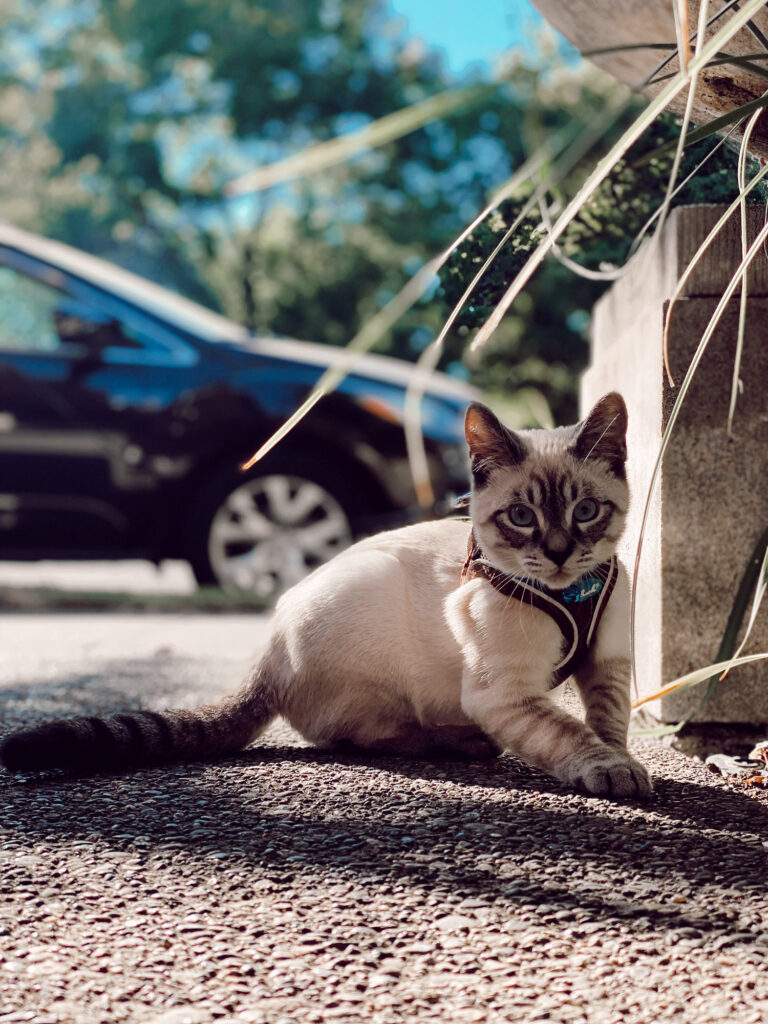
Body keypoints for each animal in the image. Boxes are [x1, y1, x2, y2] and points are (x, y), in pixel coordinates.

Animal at [0, 391, 651, 798]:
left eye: (585, 512)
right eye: (521, 517)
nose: (561, 553)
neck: (573, 594)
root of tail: (267, 648)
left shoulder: (608, 662)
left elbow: (607, 720)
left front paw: (621, 758)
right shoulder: (504, 692)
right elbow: (567, 732)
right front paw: (610, 769)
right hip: (376, 611)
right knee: (361, 735)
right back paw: (462, 740)